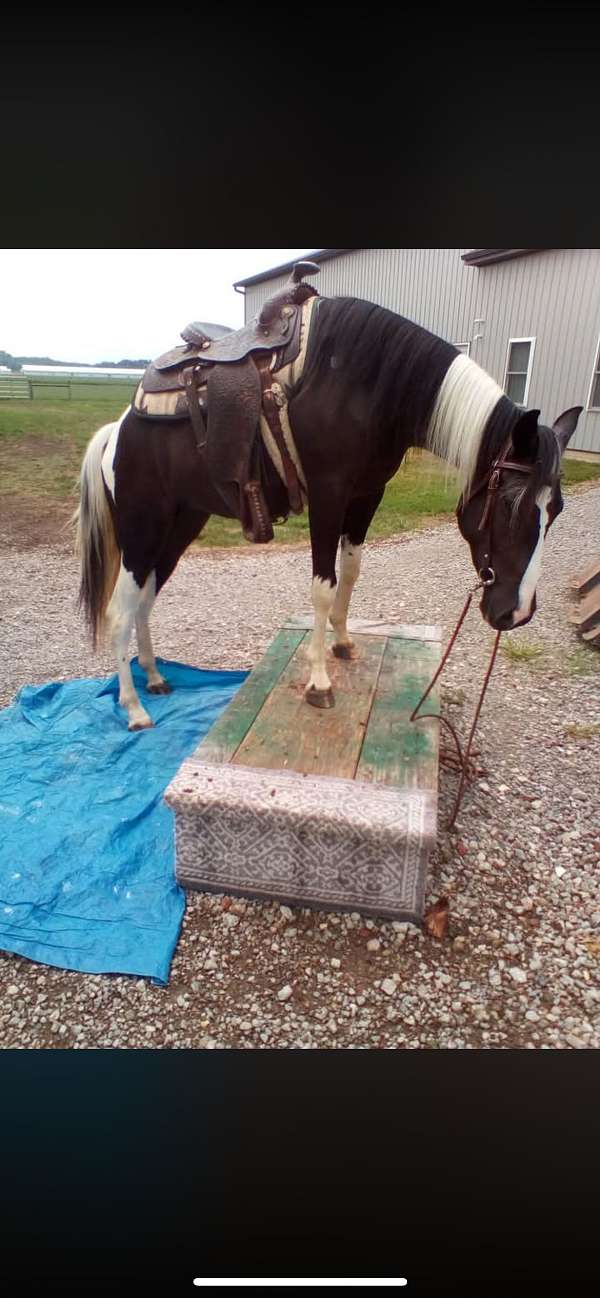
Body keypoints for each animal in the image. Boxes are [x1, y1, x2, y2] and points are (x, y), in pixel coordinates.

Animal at [74, 292, 582, 730]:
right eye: (512, 505)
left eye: (556, 509)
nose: (517, 614)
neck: (366, 389)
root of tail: (119, 430)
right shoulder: (328, 497)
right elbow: (323, 586)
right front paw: (319, 681)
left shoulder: (366, 497)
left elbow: (351, 571)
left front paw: (342, 643)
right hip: (142, 529)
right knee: (120, 611)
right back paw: (134, 707)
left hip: (180, 525)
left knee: (145, 598)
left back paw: (156, 678)